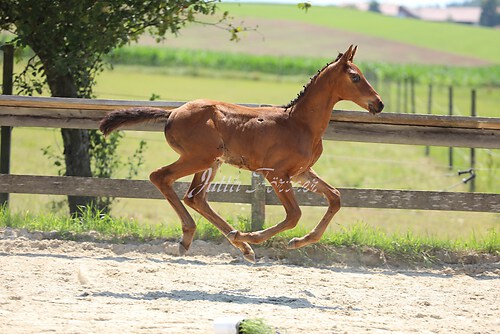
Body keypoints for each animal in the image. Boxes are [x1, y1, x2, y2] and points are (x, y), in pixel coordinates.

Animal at [100, 45, 382, 262]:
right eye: (355, 77)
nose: (379, 104)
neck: (300, 123)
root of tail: (172, 113)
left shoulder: (301, 173)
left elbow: (335, 197)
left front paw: (299, 241)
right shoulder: (276, 174)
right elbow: (294, 215)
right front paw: (253, 236)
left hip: (210, 163)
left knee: (195, 197)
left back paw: (234, 245)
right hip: (198, 158)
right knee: (161, 177)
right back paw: (210, 237)